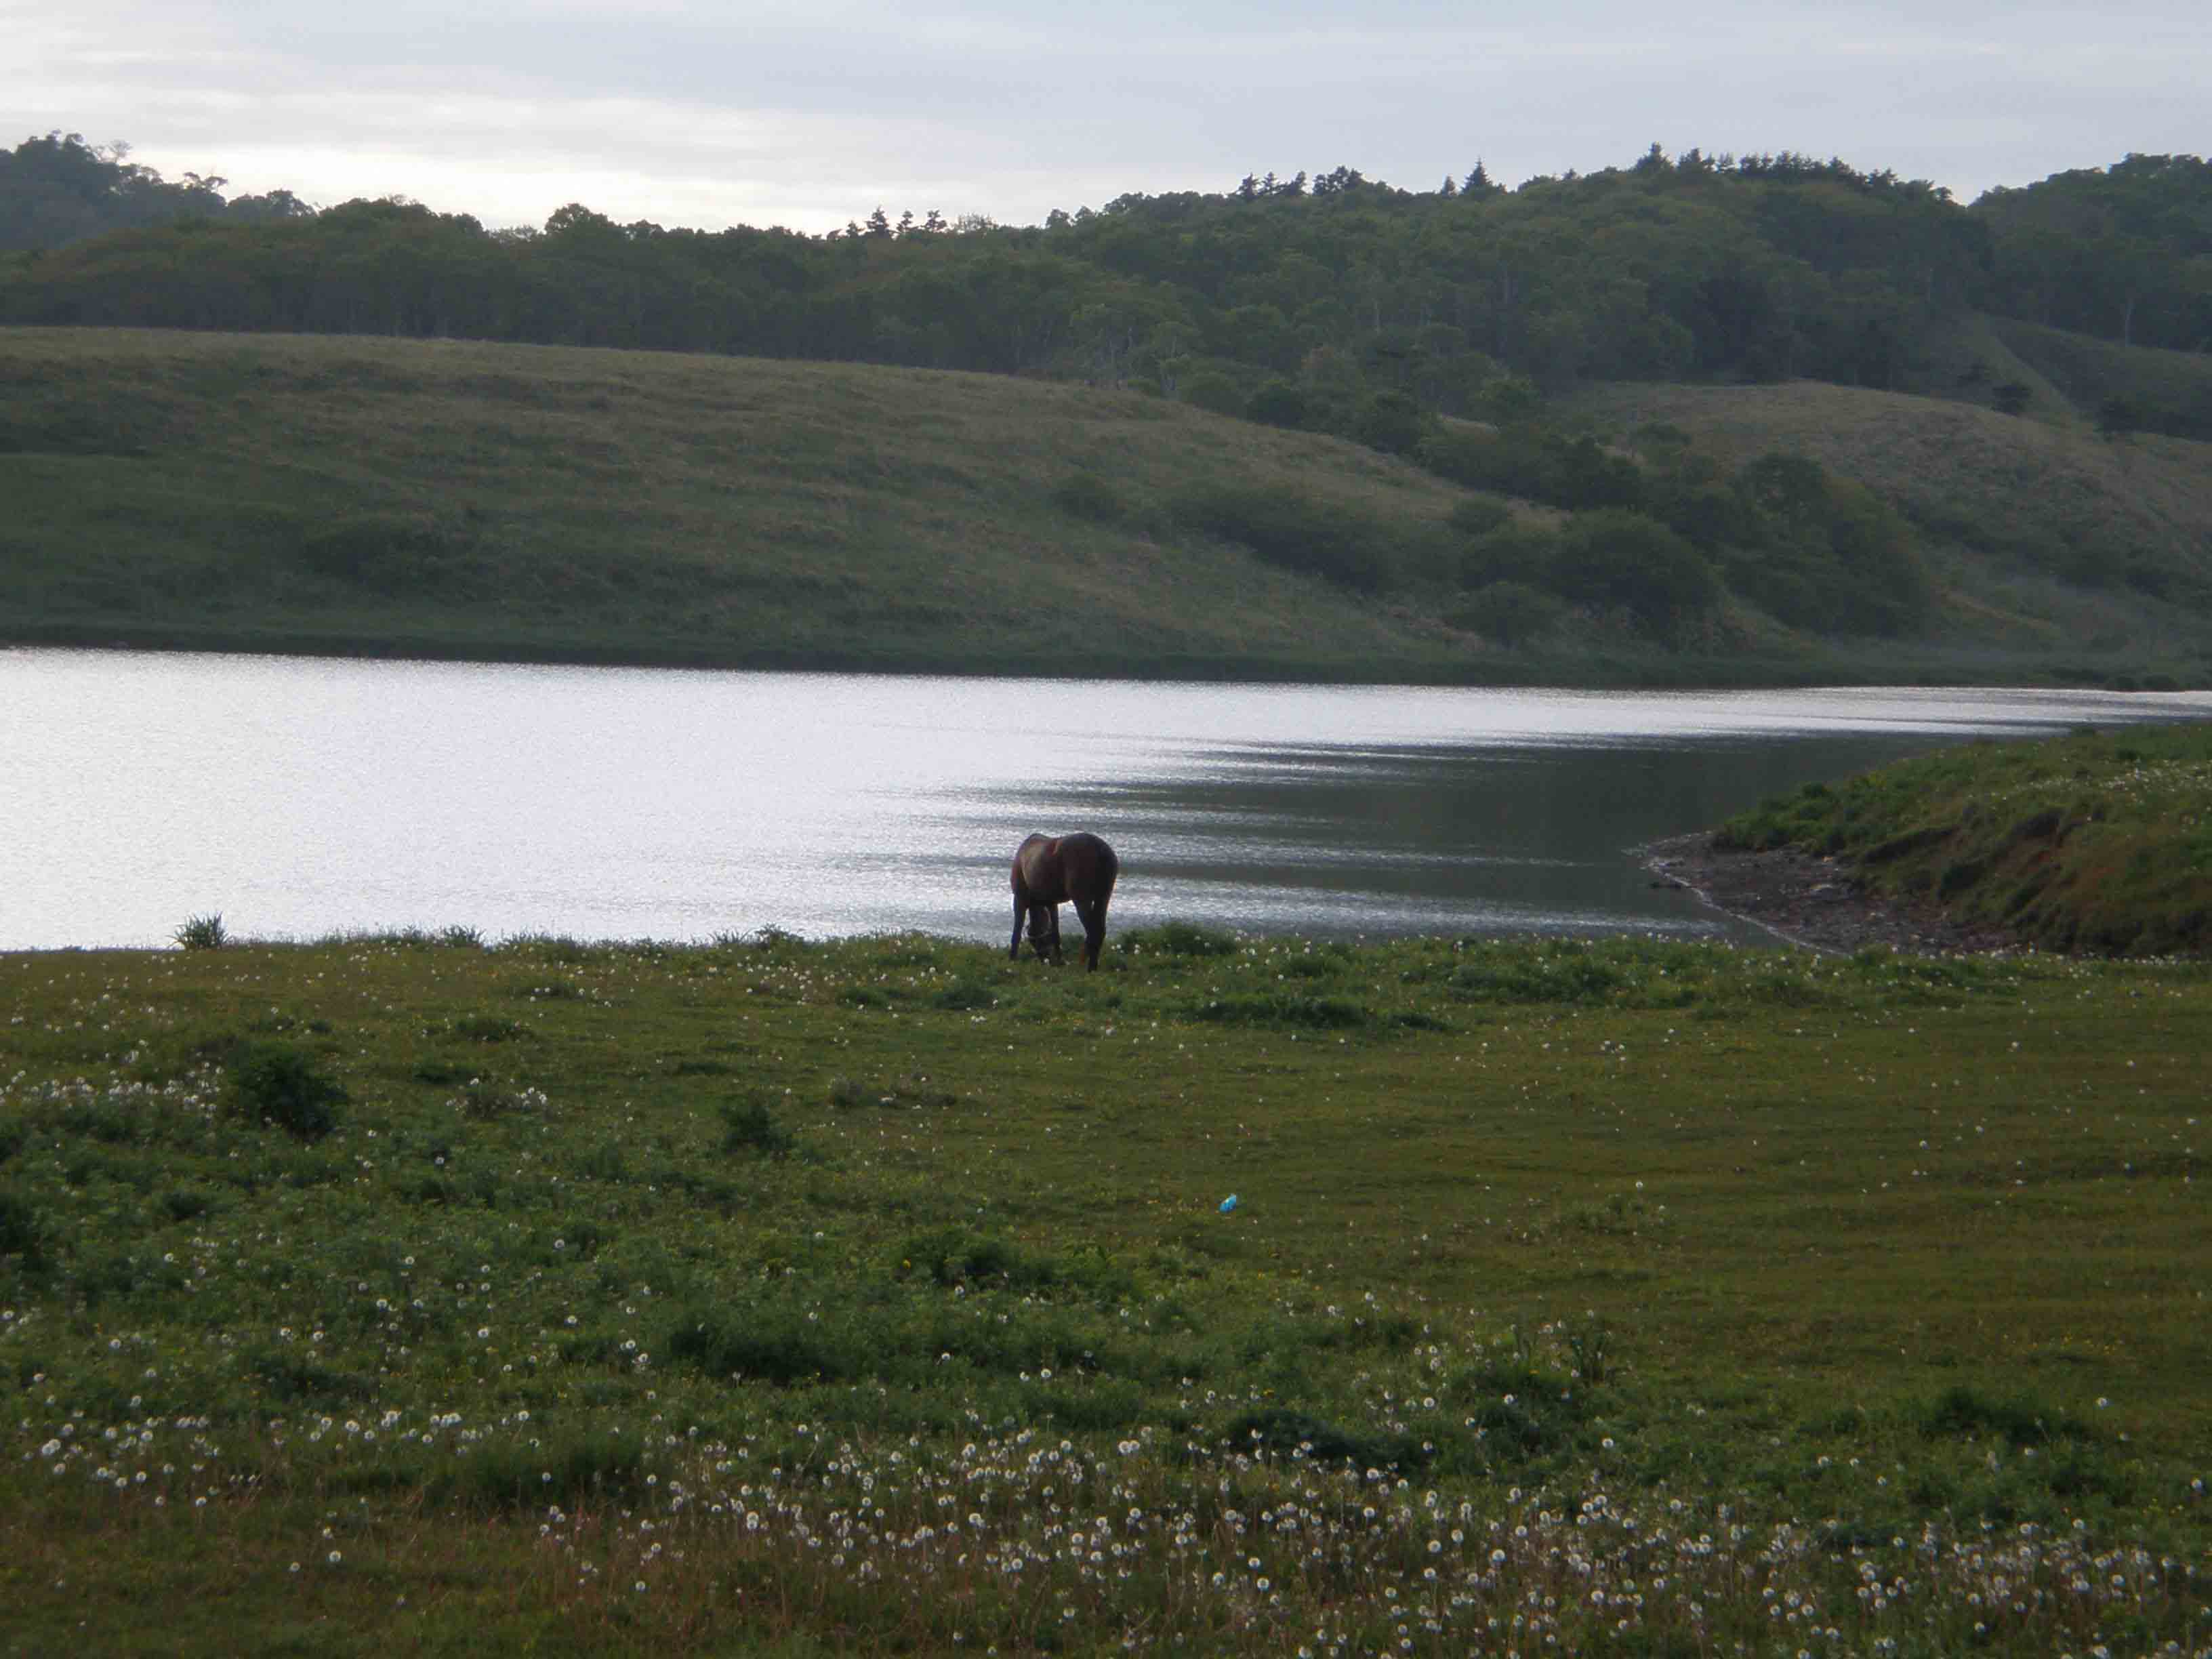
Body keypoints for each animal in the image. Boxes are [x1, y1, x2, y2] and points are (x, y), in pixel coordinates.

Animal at [1017, 832, 1124, 973]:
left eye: (1035, 942)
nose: (1045, 960)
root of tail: (1101, 851)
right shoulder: (1052, 903)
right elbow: (1055, 932)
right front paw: (1060, 960)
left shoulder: (1021, 897)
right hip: (1103, 896)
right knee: (1100, 930)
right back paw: (1092, 967)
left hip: (1082, 898)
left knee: (1093, 932)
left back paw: (1088, 967)